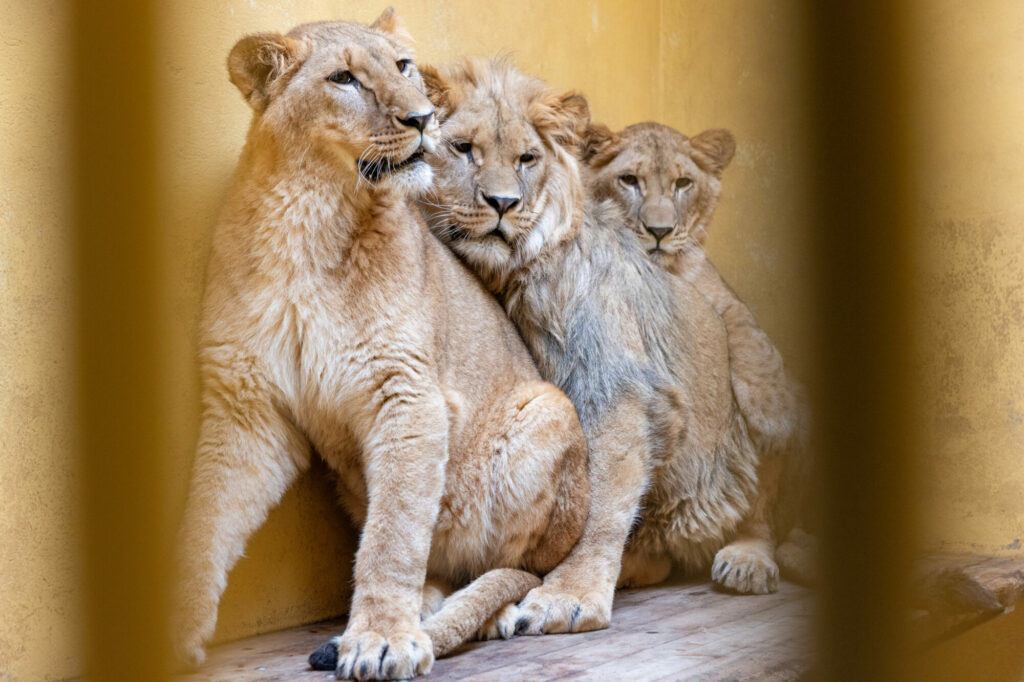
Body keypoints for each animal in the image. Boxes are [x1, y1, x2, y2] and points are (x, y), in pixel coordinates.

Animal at [173, 13, 589, 680]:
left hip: (547, 409)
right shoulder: (248, 409)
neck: (309, 222)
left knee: (522, 567)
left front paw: (382, 639)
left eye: (403, 67)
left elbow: (393, 535)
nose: (424, 118)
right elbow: (204, 522)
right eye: (344, 78)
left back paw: (479, 614)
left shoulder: (407, 394)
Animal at [419, 58, 781, 640]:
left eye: (527, 159)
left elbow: (601, 503)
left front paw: (566, 596)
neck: (511, 276)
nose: (503, 204)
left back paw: (746, 558)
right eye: (463, 149)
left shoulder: (615, 388)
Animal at [582, 121, 813, 582]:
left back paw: (746, 560)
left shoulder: (719, 297)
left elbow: (749, 335)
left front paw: (775, 411)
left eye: (683, 184)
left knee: (757, 516)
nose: (659, 232)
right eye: (629, 180)